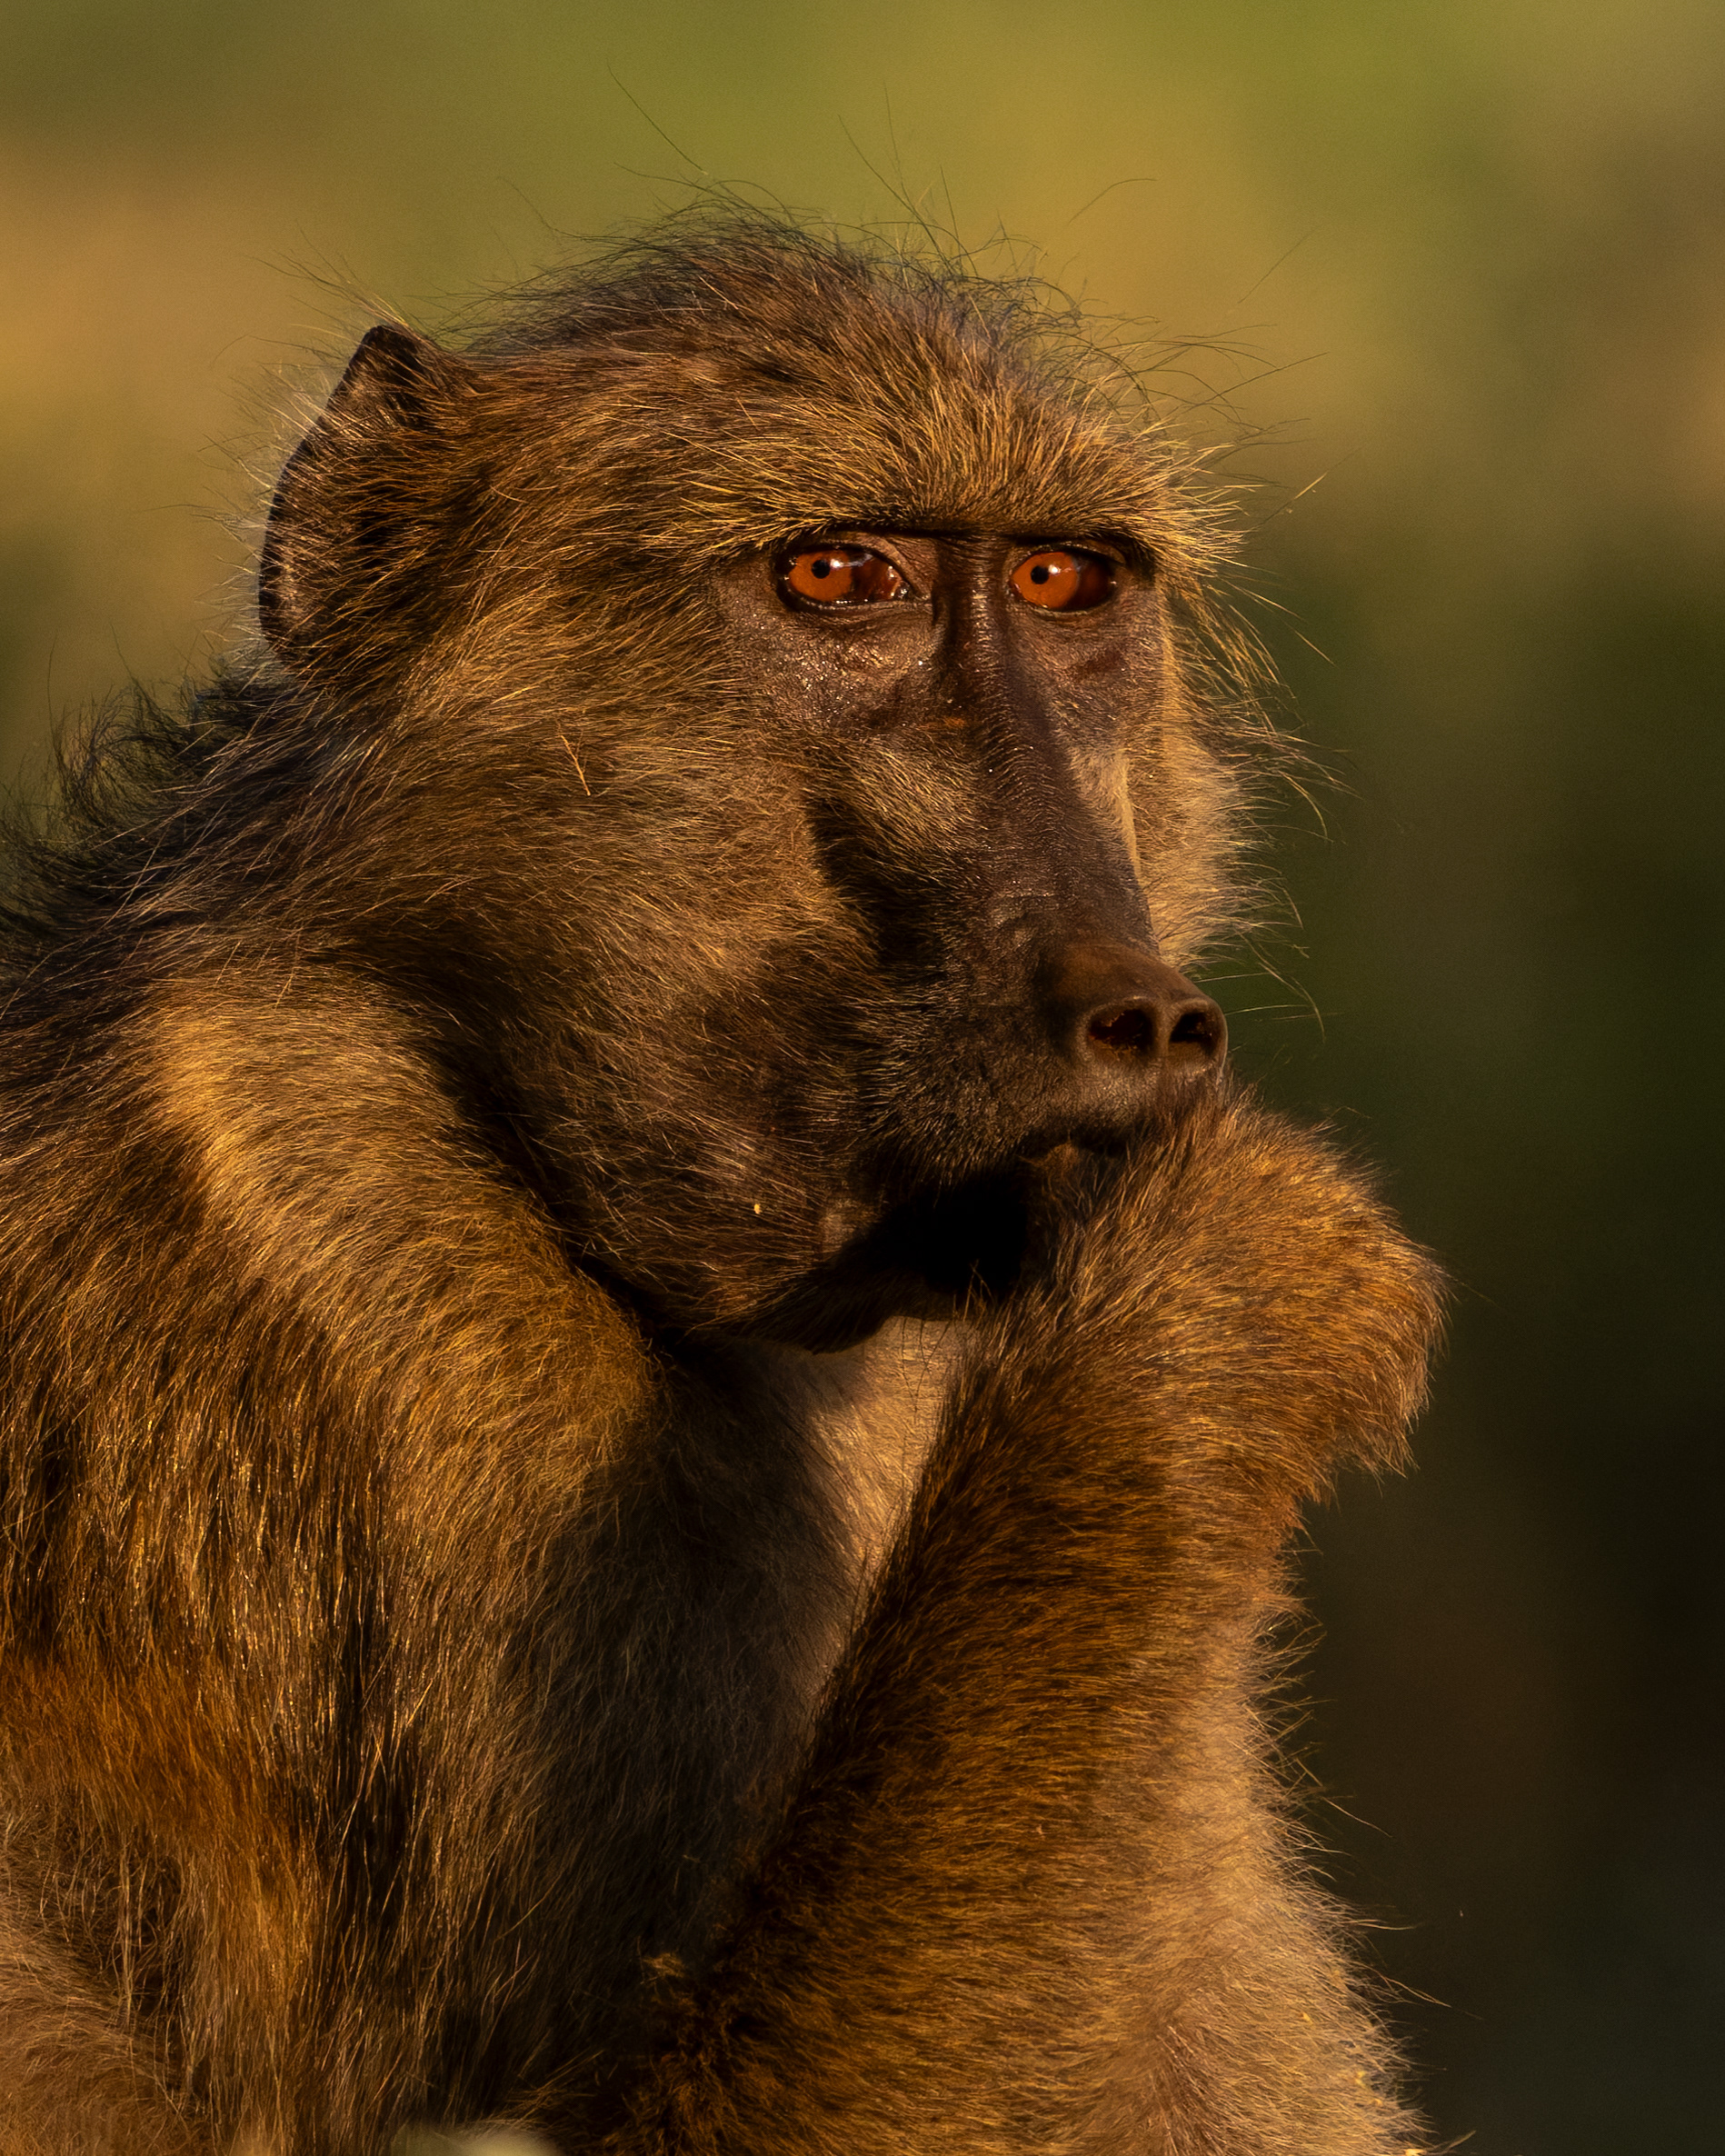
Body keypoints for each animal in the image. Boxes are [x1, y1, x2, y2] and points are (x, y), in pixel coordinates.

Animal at [0, 217, 1441, 2155]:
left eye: (1062, 583)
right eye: (839, 577)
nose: (1139, 1014)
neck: (477, 1097)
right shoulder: (382, 1346)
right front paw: (1196, 1317)